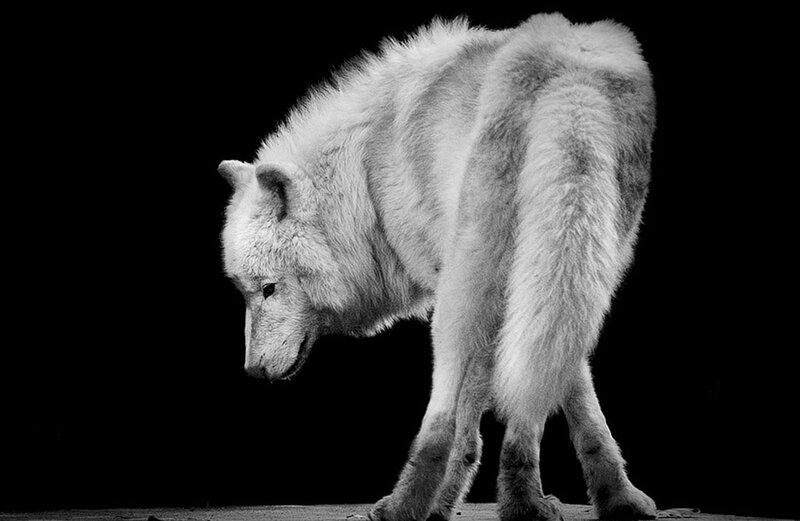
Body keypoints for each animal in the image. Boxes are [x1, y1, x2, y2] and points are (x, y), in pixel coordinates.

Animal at [219, 12, 656, 521]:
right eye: (244, 292)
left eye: (267, 289)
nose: (252, 372)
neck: (364, 172)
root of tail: (566, 75)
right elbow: (565, 388)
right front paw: (573, 495)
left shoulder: (448, 276)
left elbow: (469, 417)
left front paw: (443, 500)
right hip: (573, 271)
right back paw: (559, 501)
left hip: (462, 296)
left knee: (445, 410)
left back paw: (403, 504)